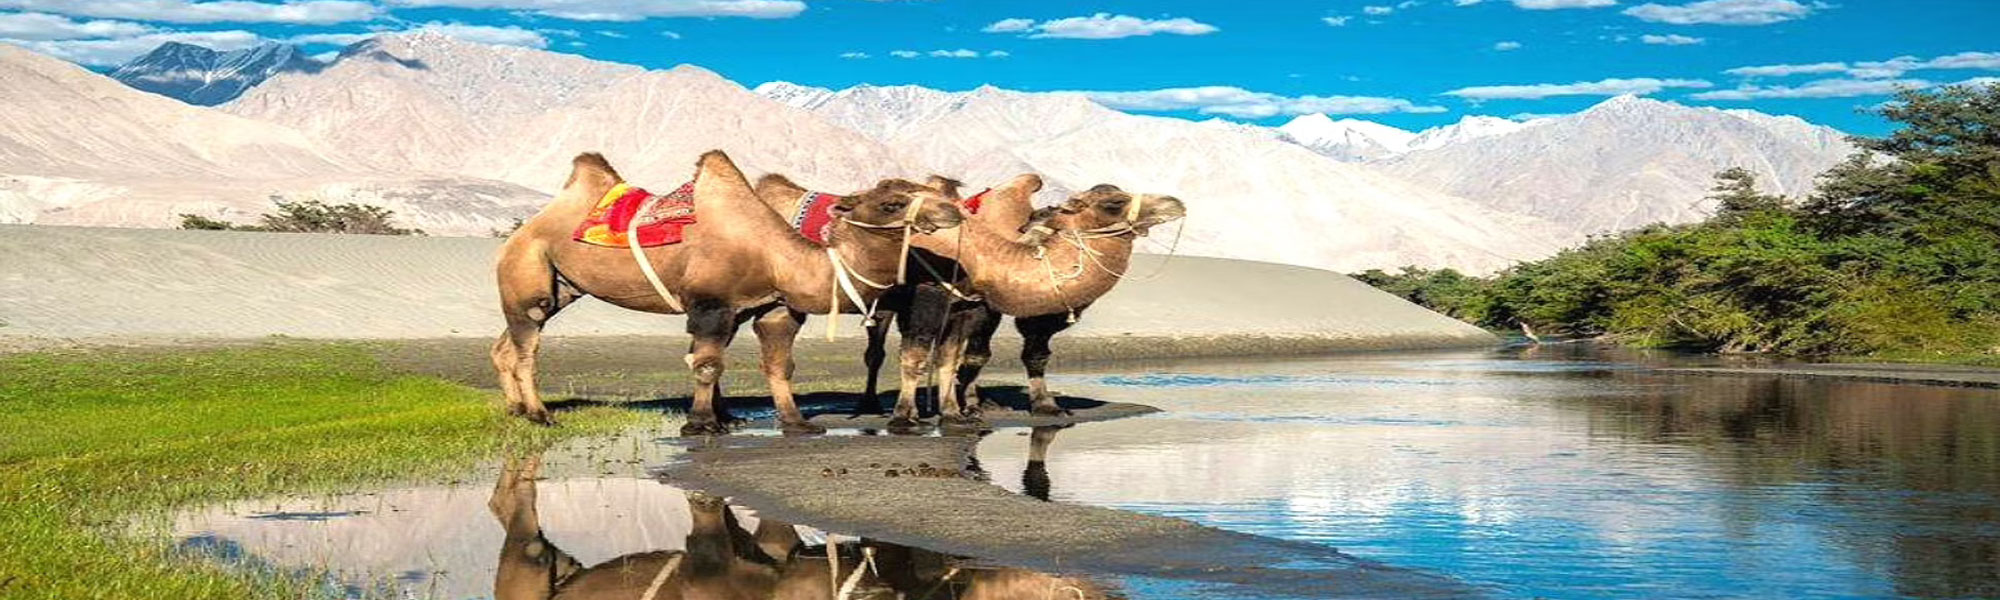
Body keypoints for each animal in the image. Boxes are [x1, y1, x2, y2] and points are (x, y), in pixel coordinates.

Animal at [491, 151, 963, 435]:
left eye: (926, 191)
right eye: (891, 204)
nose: (953, 212)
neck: (774, 254)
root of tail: (521, 233)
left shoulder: (772, 306)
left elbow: (779, 365)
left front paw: (795, 423)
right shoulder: (711, 304)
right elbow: (707, 364)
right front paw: (701, 423)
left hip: (563, 287)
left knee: (507, 344)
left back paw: (516, 409)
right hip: (528, 271)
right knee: (528, 342)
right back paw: (540, 415)